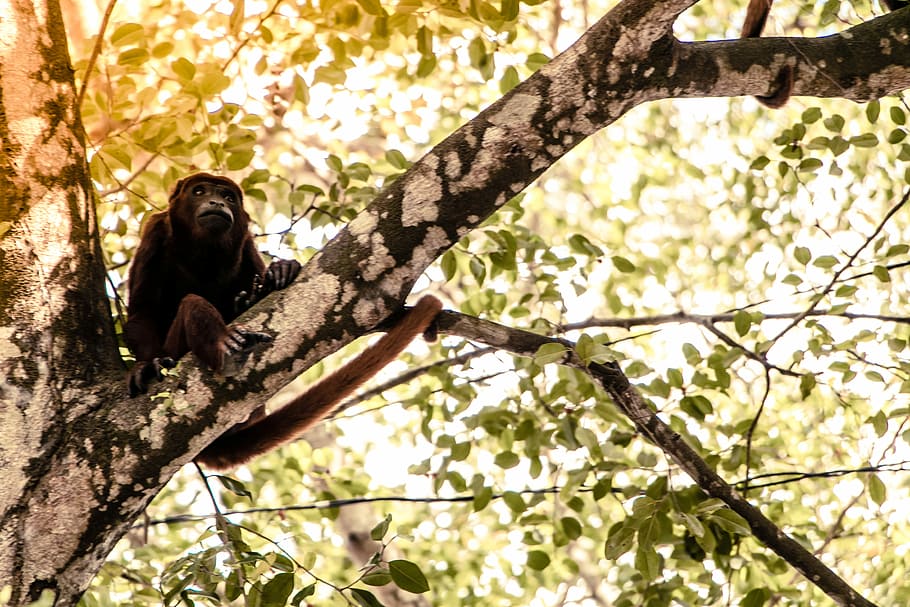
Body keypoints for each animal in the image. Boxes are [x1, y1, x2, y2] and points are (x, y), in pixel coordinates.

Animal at [125, 172, 443, 470]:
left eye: (228, 197)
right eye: (199, 191)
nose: (216, 203)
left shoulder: (245, 240)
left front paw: (279, 273)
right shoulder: (155, 230)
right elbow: (142, 312)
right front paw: (146, 365)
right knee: (191, 303)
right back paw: (224, 343)